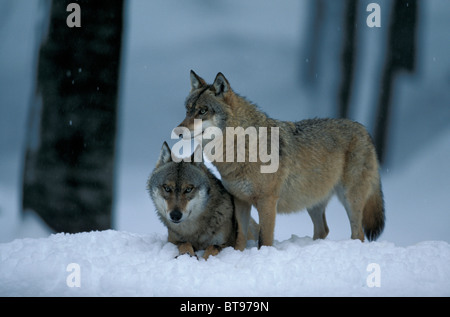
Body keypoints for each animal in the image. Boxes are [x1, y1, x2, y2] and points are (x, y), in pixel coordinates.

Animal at [178, 69, 384, 249]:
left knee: (358, 234)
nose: (178, 131)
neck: (240, 148)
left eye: (203, 111)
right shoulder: (240, 200)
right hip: (313, 202)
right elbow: (241, 237)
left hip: (350, 199)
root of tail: (364, 130)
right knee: (323, 230)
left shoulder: (267, 201)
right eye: (187, 110)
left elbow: (264, 240)